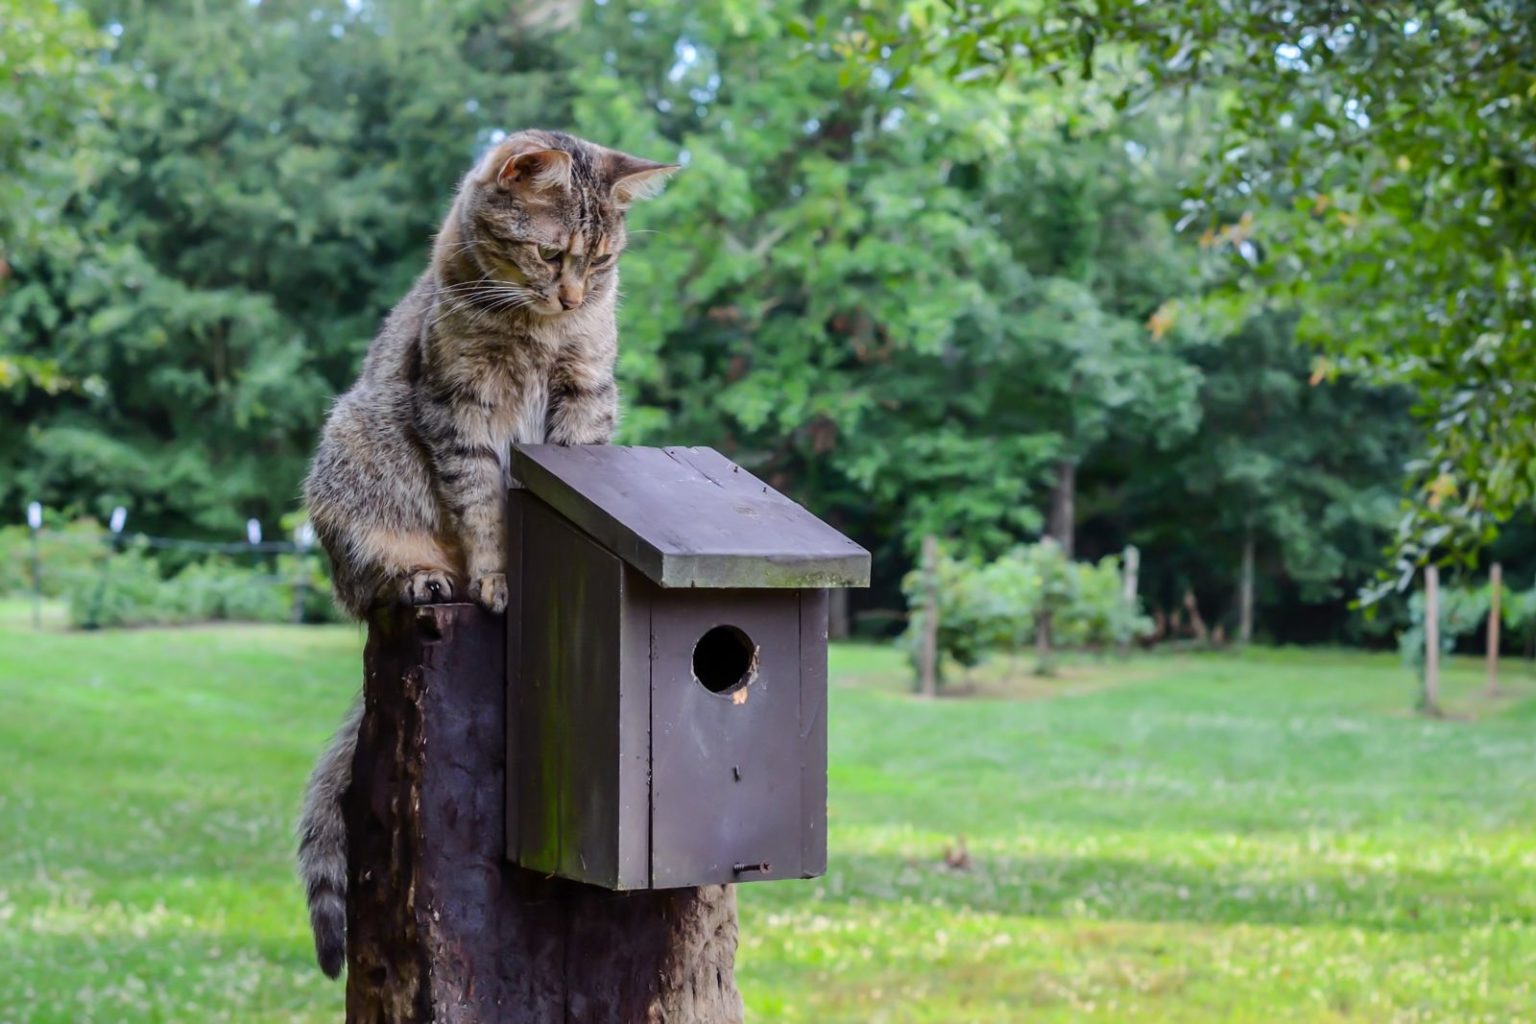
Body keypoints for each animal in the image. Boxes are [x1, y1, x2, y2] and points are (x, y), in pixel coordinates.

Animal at [296, 128, 675, 976]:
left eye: (602, 260)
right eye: (550, 254)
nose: (573, 297)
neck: (538, 331)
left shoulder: (584, 394)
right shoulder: (460, 408)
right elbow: (482, 508)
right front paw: (498, 574)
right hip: (351, 456)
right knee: (371, 582)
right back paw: (424, 578)